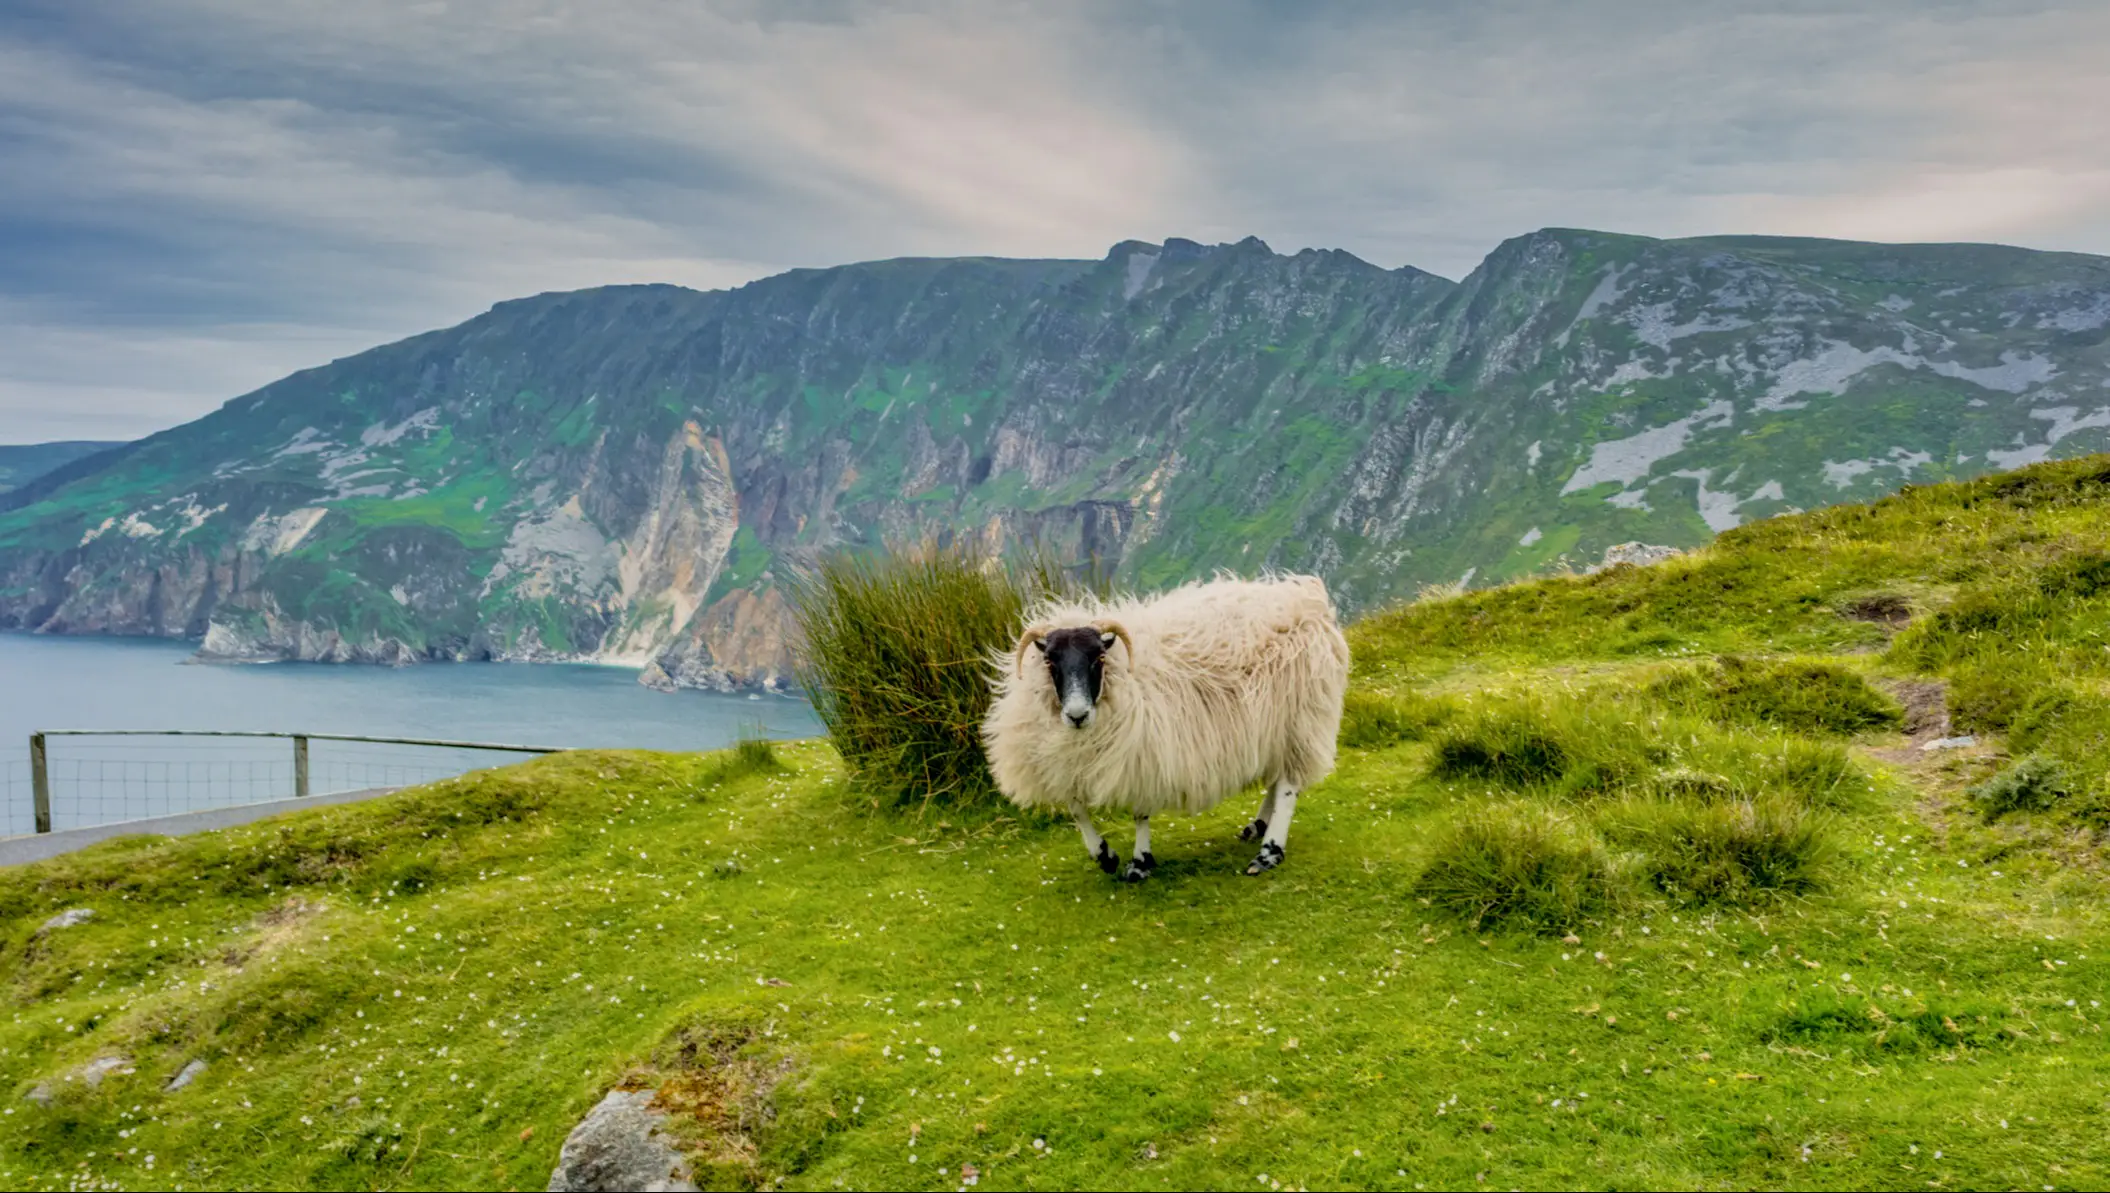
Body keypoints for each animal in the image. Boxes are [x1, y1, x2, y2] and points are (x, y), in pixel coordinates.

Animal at [982, 573, 1351, 881]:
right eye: (1049, 661)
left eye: (1098, 658)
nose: (1077, 715)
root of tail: (1306, 597)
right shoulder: (1065, 764)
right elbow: (1077, 810)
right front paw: (1104, 856)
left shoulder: (1143, 752)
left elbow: (1139, 812)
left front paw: (1140, 862)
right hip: (1276, 727)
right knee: (1276, 778)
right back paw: (1257, 826)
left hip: (1300, 718)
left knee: (1287, 785)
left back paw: (1269, 852)